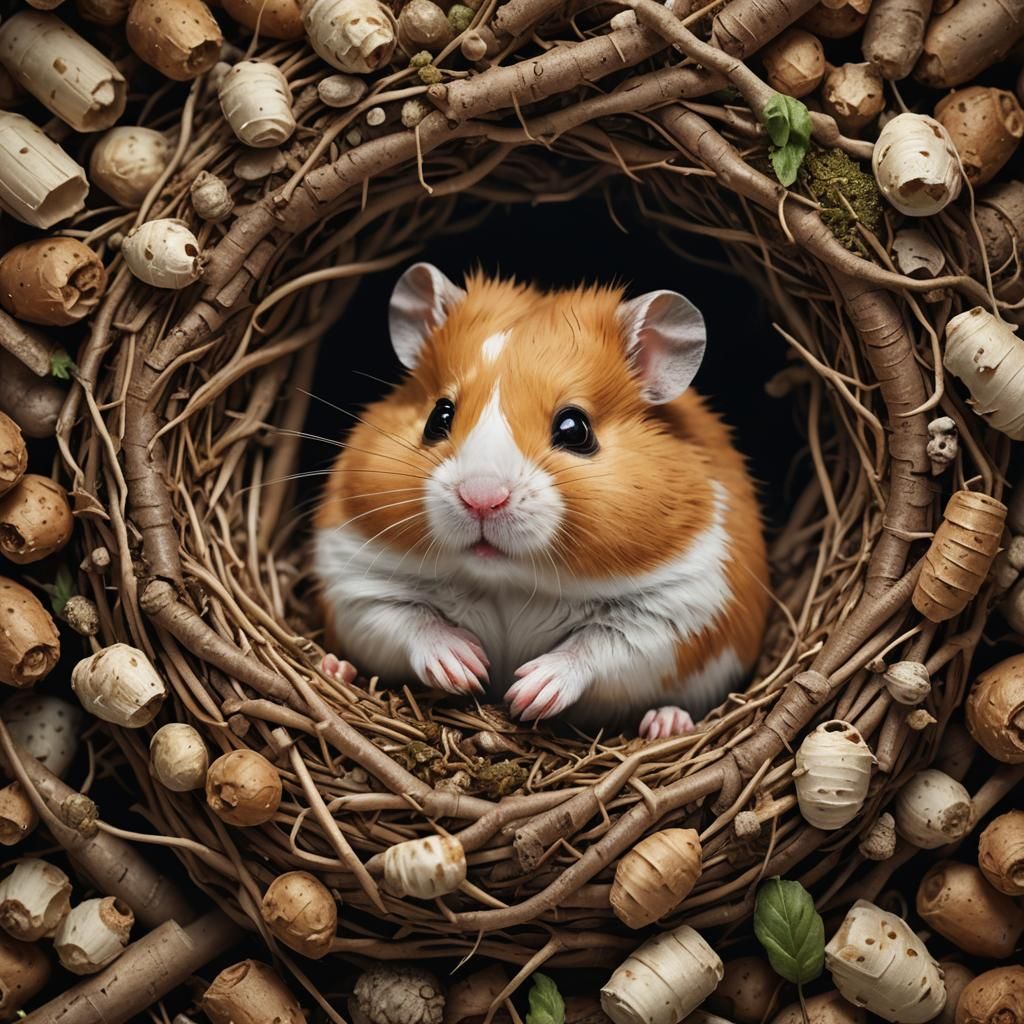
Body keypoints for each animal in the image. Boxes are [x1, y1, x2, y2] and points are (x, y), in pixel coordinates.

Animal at [313, 263, 770, 737]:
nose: (481, 498)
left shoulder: (679, 608)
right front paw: (469, 667)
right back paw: (334, 668)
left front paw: (525, 694)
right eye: (439, 416)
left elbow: (597, 646)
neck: (507, 580)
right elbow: (410, 621)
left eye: (575, 429)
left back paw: (666, 723)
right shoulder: (354, 581)